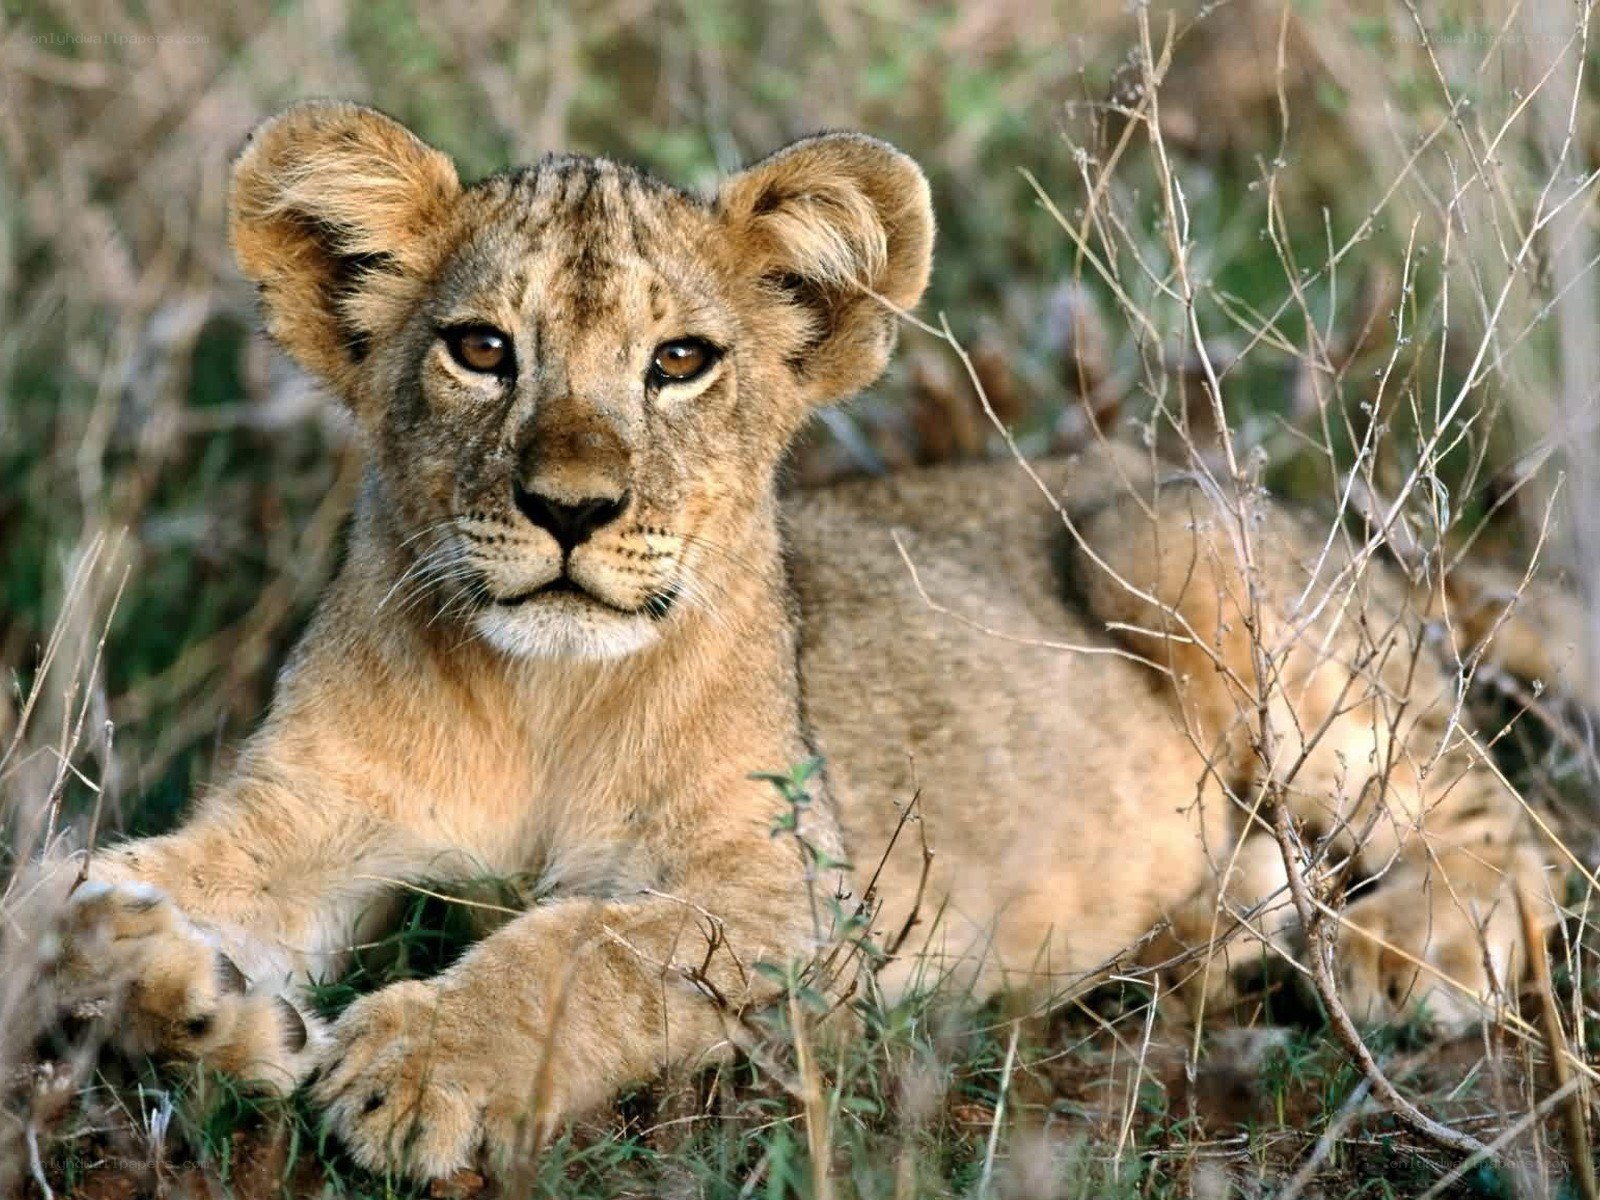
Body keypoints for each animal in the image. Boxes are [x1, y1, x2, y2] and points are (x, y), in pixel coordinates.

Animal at [48, 100, 1557, 1181]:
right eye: (481, 350)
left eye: (679, 363)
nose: (570, 509)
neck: (541, 700)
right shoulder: (302, 809)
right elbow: (84, 888)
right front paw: (192, 997)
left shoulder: (807, 897)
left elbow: (592, 947)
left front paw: (420, 1064)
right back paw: (1205, 942)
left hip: (1169, 544)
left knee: (1511, 827)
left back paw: (1402, 951)